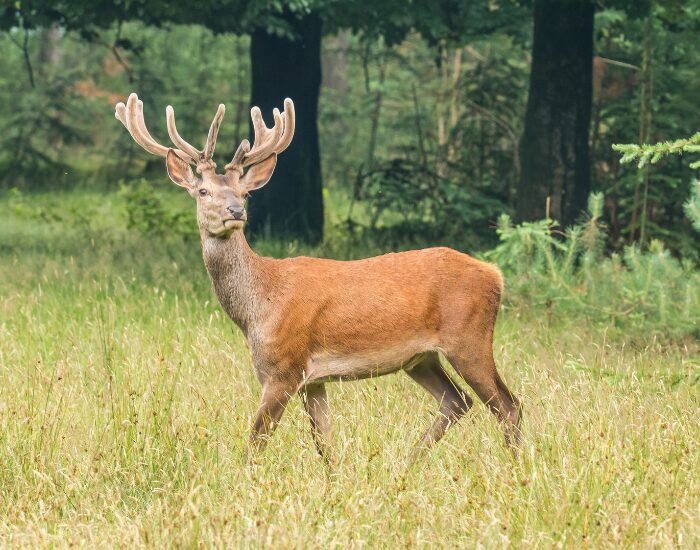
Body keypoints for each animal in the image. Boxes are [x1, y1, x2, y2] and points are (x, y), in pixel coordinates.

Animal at [114, 93, 522, 465]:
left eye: (245, 193)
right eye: (203, 191)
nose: (235, 211)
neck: (258, 305)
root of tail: (495, 275)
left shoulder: (283, 367)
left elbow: (255, 443)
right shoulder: (314, 380)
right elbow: (324, 445)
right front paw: (336, 479)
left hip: (468, 338)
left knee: (507, 404)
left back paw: (512, 465)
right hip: (421, 358)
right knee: (458, 401)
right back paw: (409, 462)